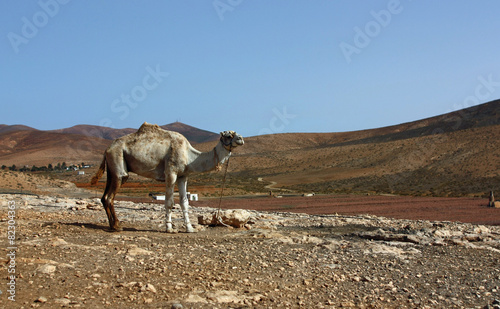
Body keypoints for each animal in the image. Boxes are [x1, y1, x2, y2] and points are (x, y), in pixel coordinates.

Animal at [92, 121, 246, 232]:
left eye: (235, 133)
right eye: (228, 135)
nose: (241, 139)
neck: (189, 155)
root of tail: (107, 149)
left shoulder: (183, 176)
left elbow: (184, 203)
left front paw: (190, 228)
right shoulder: (171, 173)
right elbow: (169, 202)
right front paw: (169, 228)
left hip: (113, 170)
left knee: (105, 197)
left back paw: (113, 225)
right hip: (118, 163)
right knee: (109, 197)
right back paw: (117, 226)